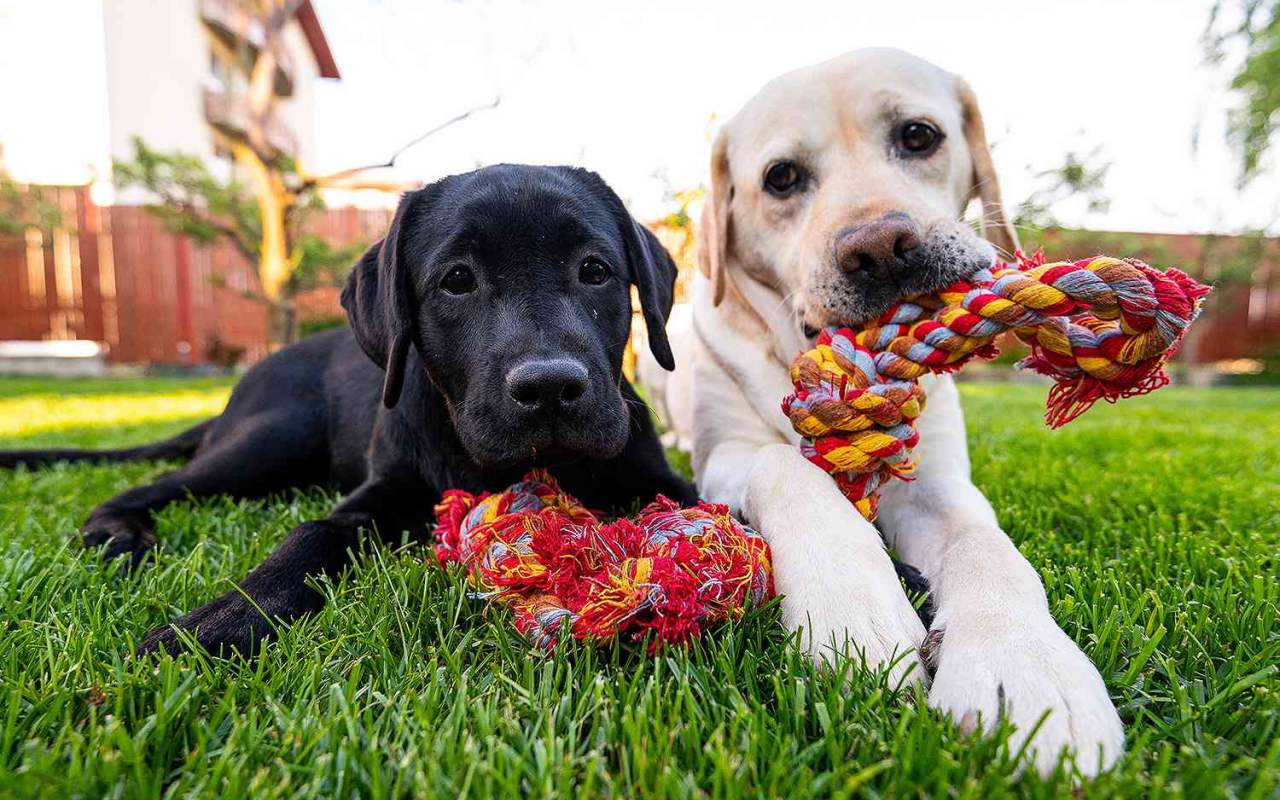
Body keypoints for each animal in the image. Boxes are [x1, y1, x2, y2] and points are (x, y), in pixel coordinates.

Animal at [2, 163, 701, 655]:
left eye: (595, 270)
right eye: (457, 280)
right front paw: (218, 622)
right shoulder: (378, 492)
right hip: (274, 437)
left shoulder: (659, 477)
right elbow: (312, 533)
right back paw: (117, 532)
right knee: (155, 484)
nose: (551, 386)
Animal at [675, 49, 1126, 773]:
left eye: (918, 136)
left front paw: (1027, 667)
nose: (880, 248)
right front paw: (854, 614)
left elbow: (986, 546)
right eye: (781, 178)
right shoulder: (723, 456)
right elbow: (785, 465)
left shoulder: (936, 481)